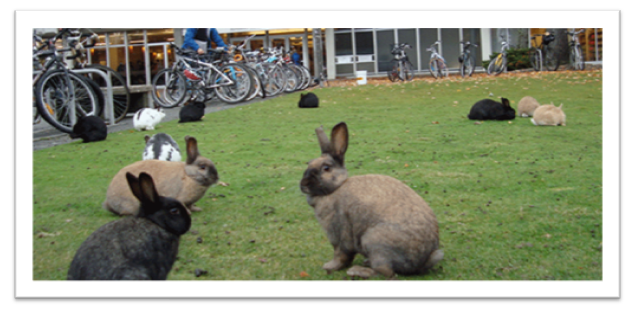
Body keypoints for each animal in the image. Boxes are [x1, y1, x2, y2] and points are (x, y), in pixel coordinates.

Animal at [298, 123, 442, 280]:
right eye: (309, 163)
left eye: (326, 168)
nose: (304, 184)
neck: (336, 187)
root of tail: (421, 262)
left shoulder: (339, 235)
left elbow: (341, 255)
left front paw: (330, 266)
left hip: (375, 243)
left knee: (386, 273)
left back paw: (357, 271)